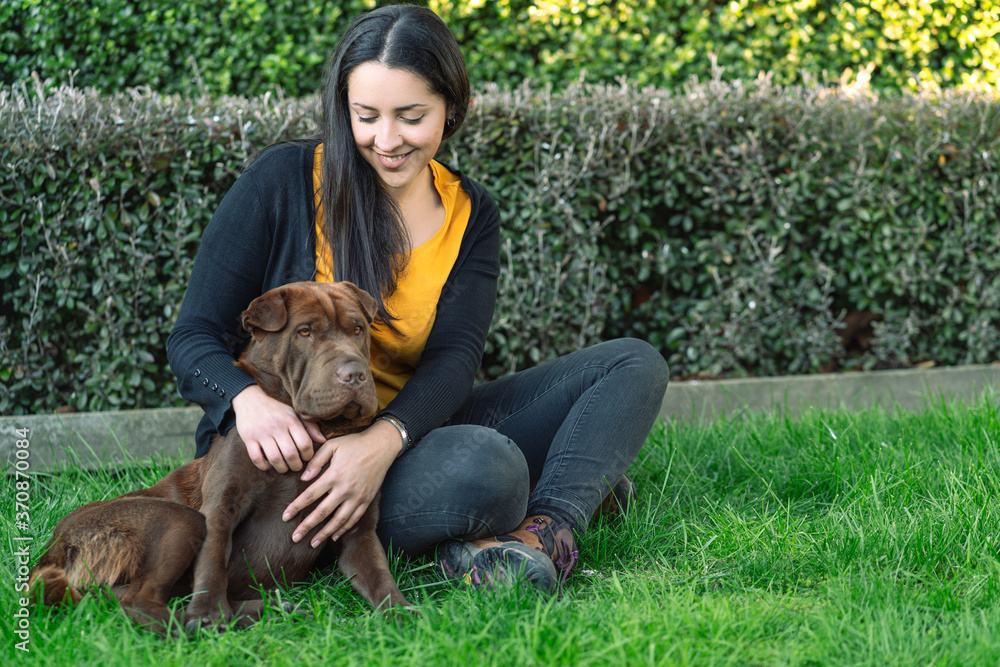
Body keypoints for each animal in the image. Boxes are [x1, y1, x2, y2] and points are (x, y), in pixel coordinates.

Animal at [29, 284, 410, 636]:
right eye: (305, 332)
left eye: (357, 329)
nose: (355, 374)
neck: (316, 430)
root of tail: (54, 547)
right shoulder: (221, 507)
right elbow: (213, 563)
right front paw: (208, 613)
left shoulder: (357, 526)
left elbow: (379, 574)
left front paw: (405, 618)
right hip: (178, 519)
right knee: (137, 602)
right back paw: (203, 624)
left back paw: (271, 610)